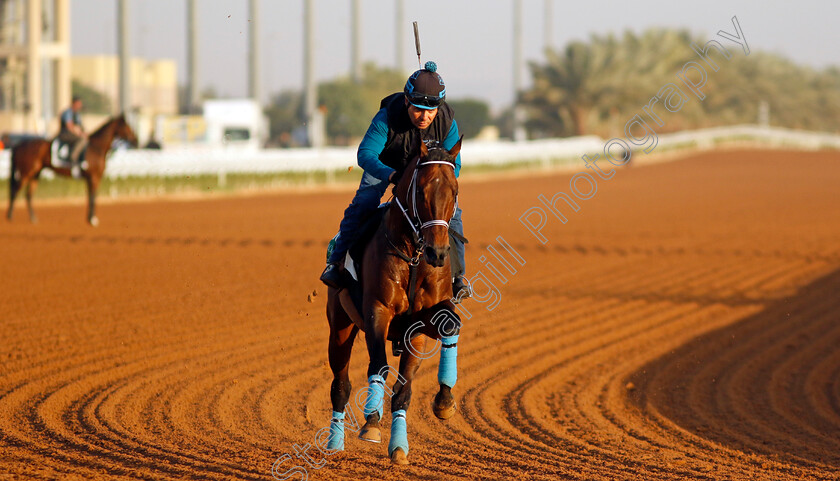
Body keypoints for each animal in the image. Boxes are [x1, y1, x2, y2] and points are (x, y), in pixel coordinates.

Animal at [7, 113, 138, 226]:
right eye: (126, 126)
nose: (136, 140)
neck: (96, 147)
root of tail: (18, 146)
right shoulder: (94, 177)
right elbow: (93, 197)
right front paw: (93, 220)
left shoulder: (92, 178)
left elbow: (91, 196)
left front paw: (90, 218)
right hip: (26, 173)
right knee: (15, 191)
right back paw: (10, 216)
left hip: (35, 174)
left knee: (28, 195)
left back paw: (33, 218)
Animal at [324, 137, 466, 464]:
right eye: (421, 190)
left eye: (454, 191)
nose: (438, 252)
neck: (413, 257)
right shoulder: (378, 310)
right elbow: (378, 365)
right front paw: (371, 422)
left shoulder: (422, 323)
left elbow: (406, 386)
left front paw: (442, 403)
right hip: (340, 324)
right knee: (340, 385)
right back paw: (335, 442)